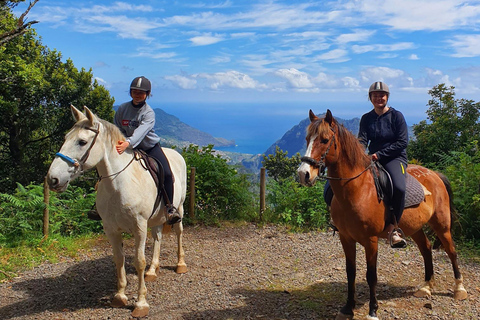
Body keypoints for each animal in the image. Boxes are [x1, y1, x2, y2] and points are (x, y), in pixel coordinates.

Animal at [46, 105, 187, 318]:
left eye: (82, 142)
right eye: (65, 138)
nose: (52, 179)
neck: (118, 183)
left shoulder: (139, 227)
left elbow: (139, 261)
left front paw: (141, 303)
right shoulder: (111, 228)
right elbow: (118, 258)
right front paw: (120, 296)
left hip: (178, 209)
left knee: (178, 232)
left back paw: (180, 264)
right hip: (155, 218)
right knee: (158, 236)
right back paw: (152, 270)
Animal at [298, 110, 466, 320]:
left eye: (325, 139)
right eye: (307, 139)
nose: (303, 174)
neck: (358, 190)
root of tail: (435, 174)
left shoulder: (371, 240)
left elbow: (371, 276)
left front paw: (372, 311)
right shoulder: (346, 238)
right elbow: (350, 272)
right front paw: (348, 307)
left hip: (442, 225)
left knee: (451, 251)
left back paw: (459, 289)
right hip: (415, 227)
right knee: (426, 249)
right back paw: (426, 287)